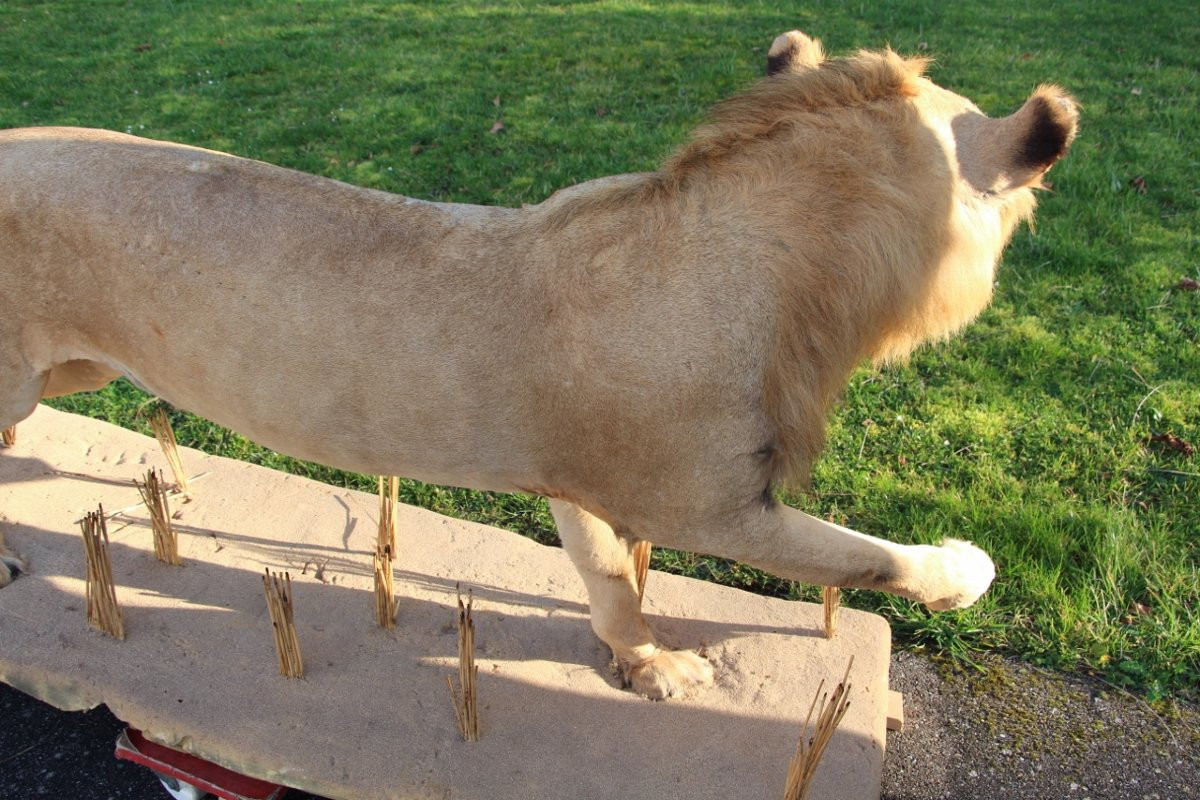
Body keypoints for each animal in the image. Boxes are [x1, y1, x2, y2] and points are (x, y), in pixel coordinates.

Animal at [0, 31, 1076, 698]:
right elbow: (864, 555)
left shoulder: (581, 480)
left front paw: (646, 665)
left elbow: (610, 582)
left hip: (74, 370)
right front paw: (966, 567)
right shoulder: (711, 505)